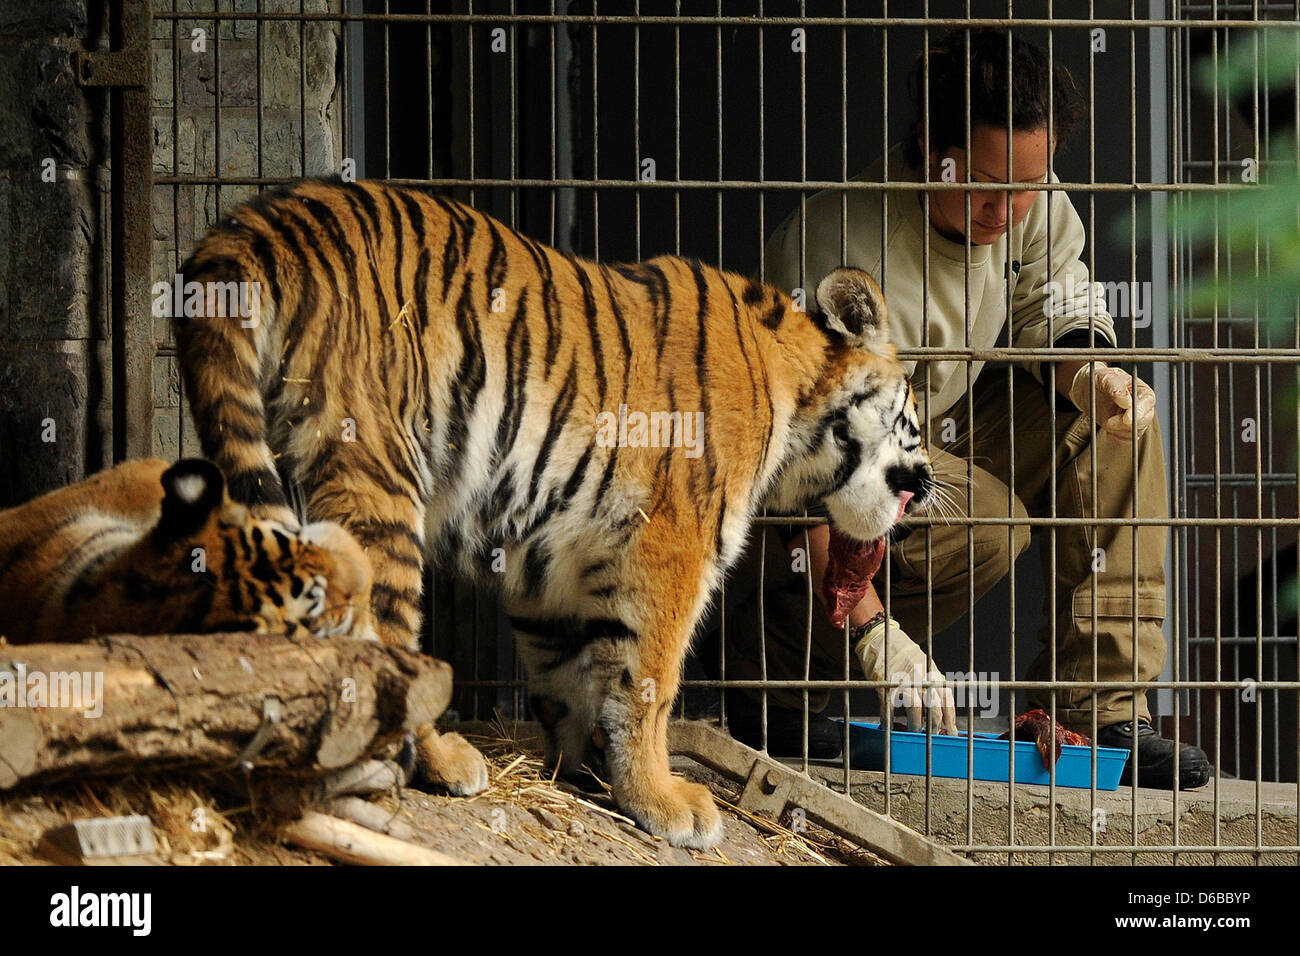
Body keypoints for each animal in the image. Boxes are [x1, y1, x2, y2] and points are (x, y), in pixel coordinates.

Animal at [178, 180, 935, 853]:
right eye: (917, 419)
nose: (929, 485)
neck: (798, 396)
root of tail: (257, 222)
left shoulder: (552, 562)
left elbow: (570, 675)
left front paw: (587, 775)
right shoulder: (673, 545)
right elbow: (650, 682)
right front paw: (665, 802)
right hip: (377, 470)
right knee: (378, 632)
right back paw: (442, 762)